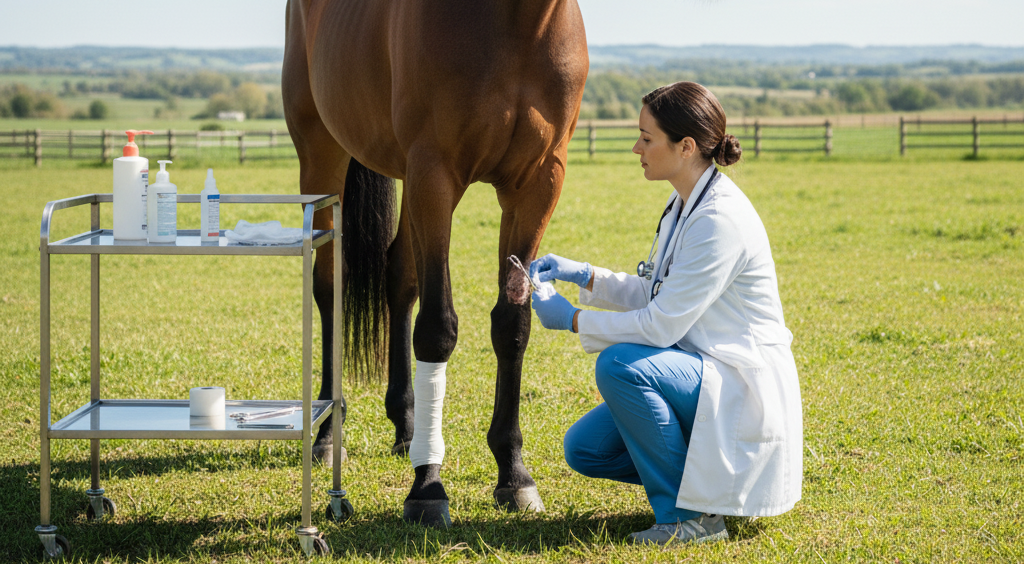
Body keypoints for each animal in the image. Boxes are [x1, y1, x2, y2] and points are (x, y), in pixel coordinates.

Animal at [282, 0, 589, 526]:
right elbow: (436, 329)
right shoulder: (435, 171)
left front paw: (514, 475)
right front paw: (427, 486)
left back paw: (406, 426)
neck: (516, 24)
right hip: (323, 155)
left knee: (399, 279)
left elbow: (512, 325)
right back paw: (325, 436)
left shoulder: (538, 182)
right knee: (329, 285)